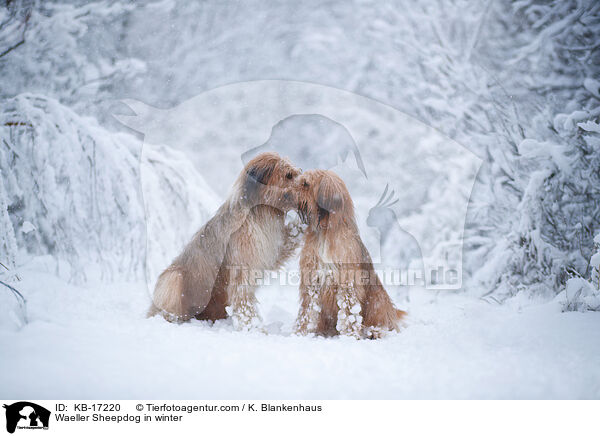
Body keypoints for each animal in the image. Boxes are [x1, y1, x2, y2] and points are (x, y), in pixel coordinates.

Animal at [148, 152, 302, 328]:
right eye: (289, 175)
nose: (308, 186)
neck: (260, 211)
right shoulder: (242, 265)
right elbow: (244, 299)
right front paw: (254, 327)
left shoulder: (272, 248)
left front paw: (303, 225)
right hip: (174, 279)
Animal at [294, 169, 406, 338]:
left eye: (306, 184)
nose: (286, 193)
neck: (325, 232)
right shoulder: (312, 278)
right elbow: (307, 309)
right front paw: (302, 331)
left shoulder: (347, 280)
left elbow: (349, 311)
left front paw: (350, 335)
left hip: (377, 299)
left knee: (382, 320)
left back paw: (375, 331)